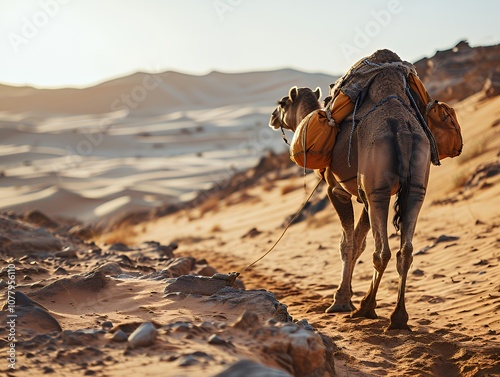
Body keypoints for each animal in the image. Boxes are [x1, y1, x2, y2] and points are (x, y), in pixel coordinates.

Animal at [268, 50, 432, 328]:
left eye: (282, 102)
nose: (271, 116)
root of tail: (402, 129)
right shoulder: (363, 195)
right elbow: (358, 242)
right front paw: (346, 298)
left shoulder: (338, 190)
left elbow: (348, 243)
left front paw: (341, 301)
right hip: (413, 185)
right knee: (405, 251)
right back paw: (398, 316)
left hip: (377, 187)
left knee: (382, 251)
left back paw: (367, 308)